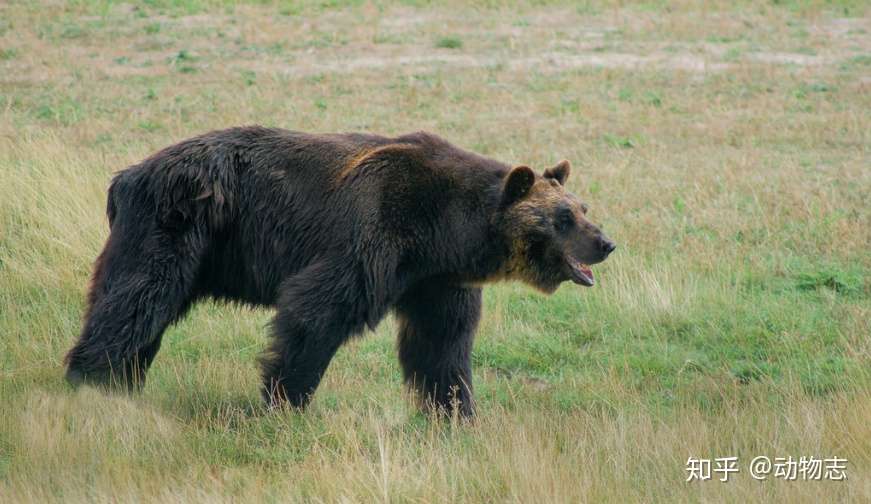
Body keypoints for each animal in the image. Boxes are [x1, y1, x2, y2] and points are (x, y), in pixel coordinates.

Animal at [64, 127, 616, 418]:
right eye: (563, 218)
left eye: (583, 207)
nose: (606, 243)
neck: (443, 232)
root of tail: (126, 175)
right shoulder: (375, 234)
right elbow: (316, 313)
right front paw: (284, 399)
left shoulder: (434, 281)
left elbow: (441, 344)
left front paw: (454, 411)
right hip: (175, 226)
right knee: (137, 298)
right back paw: (90, 380)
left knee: (141, 312)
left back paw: (122, 382)